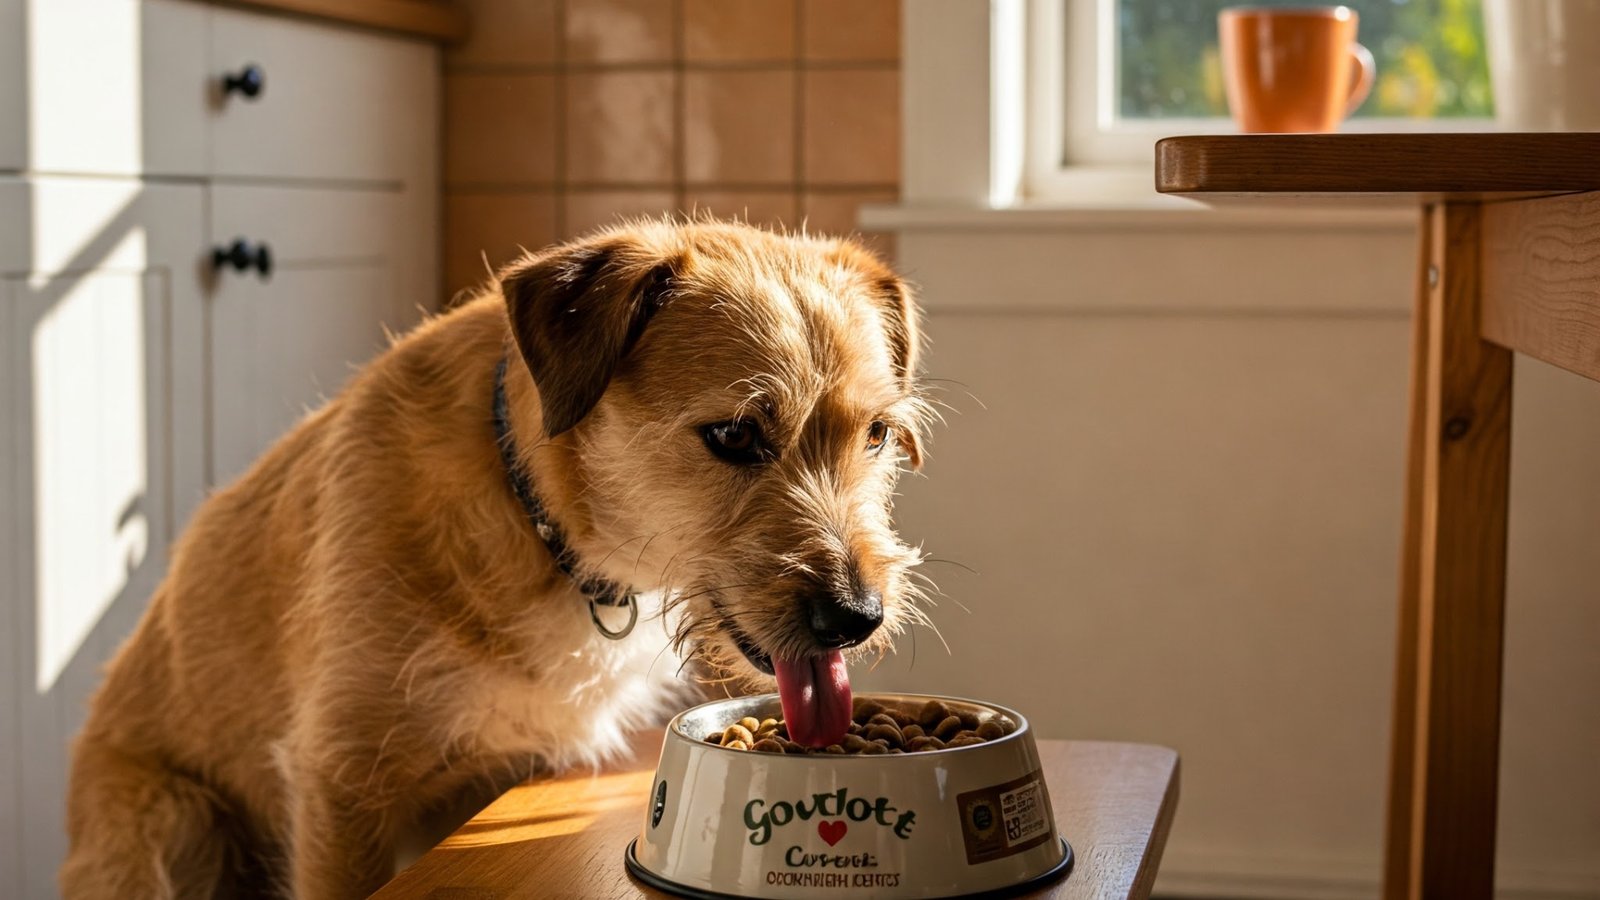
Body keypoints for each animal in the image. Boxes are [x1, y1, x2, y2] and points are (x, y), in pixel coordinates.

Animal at [62, 219, 934, 896]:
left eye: (878, 434)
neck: (544, 523)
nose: (857, 618)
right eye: (733, 434)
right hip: (170, 822)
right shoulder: (339, 784)